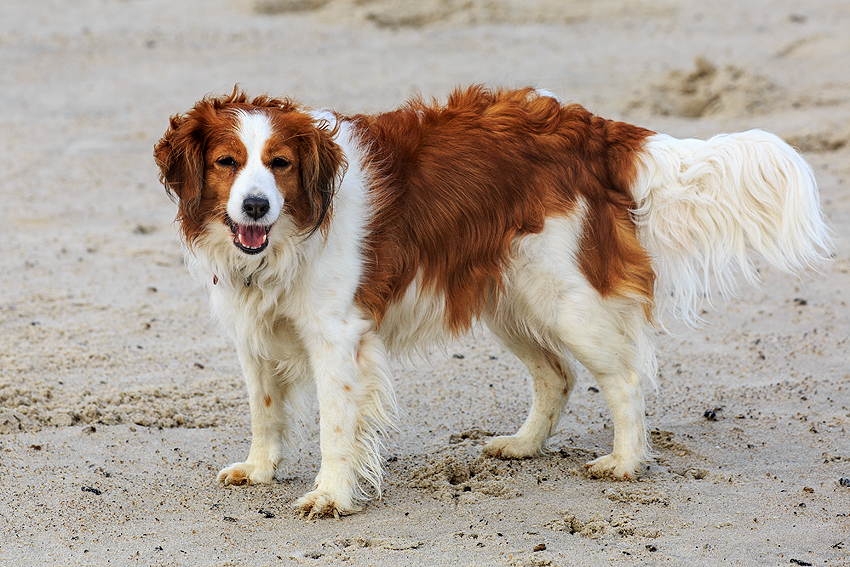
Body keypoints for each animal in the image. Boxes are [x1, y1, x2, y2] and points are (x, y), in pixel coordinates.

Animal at [152, 85, 828, 520]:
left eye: (280, 164)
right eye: (227, 162)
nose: (255, 206)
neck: (287, 237)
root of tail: (594, 129)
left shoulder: (337, 337)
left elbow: (336, 425)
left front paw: (331, 494)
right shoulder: (253, 334)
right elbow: (264, 412)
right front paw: (260, 470)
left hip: (564, 300)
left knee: (625, 379)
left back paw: (625, 462)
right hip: (510, 300)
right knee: (557, 375)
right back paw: (524, 446)